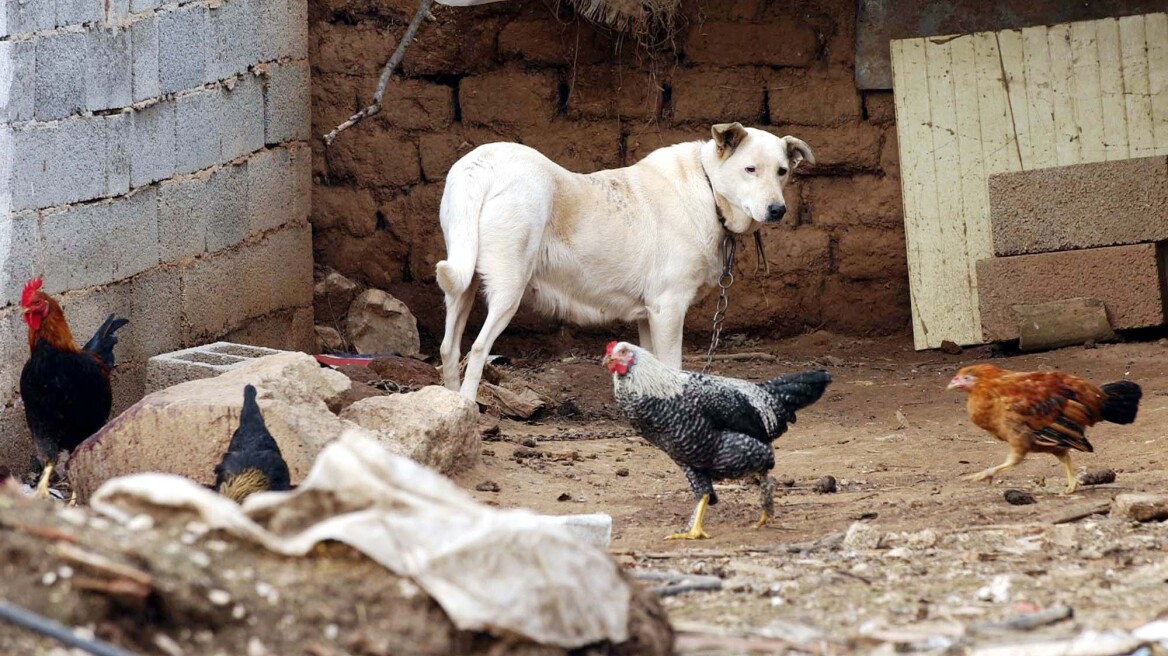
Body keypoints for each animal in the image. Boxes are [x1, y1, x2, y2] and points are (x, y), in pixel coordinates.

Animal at [436, 122, 812, 399]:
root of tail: (482, 165)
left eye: (782, 171)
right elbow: (673, 367)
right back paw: (468, 407)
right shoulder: (668, 308)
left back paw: (451, 406)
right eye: (750, 169)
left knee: (448, 348)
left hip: (463, 285)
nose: (778, 210)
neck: (708, 190)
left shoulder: (648, 315)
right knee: (478, 348)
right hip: (508, 289)